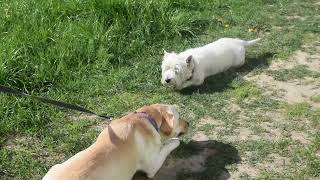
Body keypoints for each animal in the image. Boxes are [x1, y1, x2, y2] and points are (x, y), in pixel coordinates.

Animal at [42, 104, 188, 180]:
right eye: (179, 117)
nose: (189, 123)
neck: (146, 118)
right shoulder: (152, 165)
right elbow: (172, 143)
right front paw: (173, 140)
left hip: (54, 167)